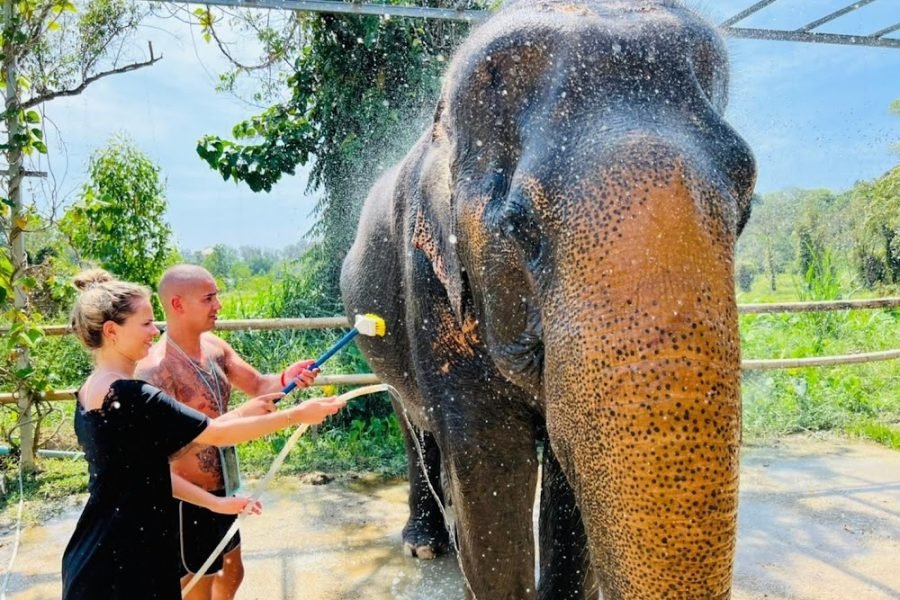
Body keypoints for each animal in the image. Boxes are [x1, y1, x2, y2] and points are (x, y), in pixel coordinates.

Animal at [340, 1, 756, 598]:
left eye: (746, 207)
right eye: (522, 228)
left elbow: (568, 480)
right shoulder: (430, 287)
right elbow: (489, 468)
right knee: (412, 420)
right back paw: (425, 545)